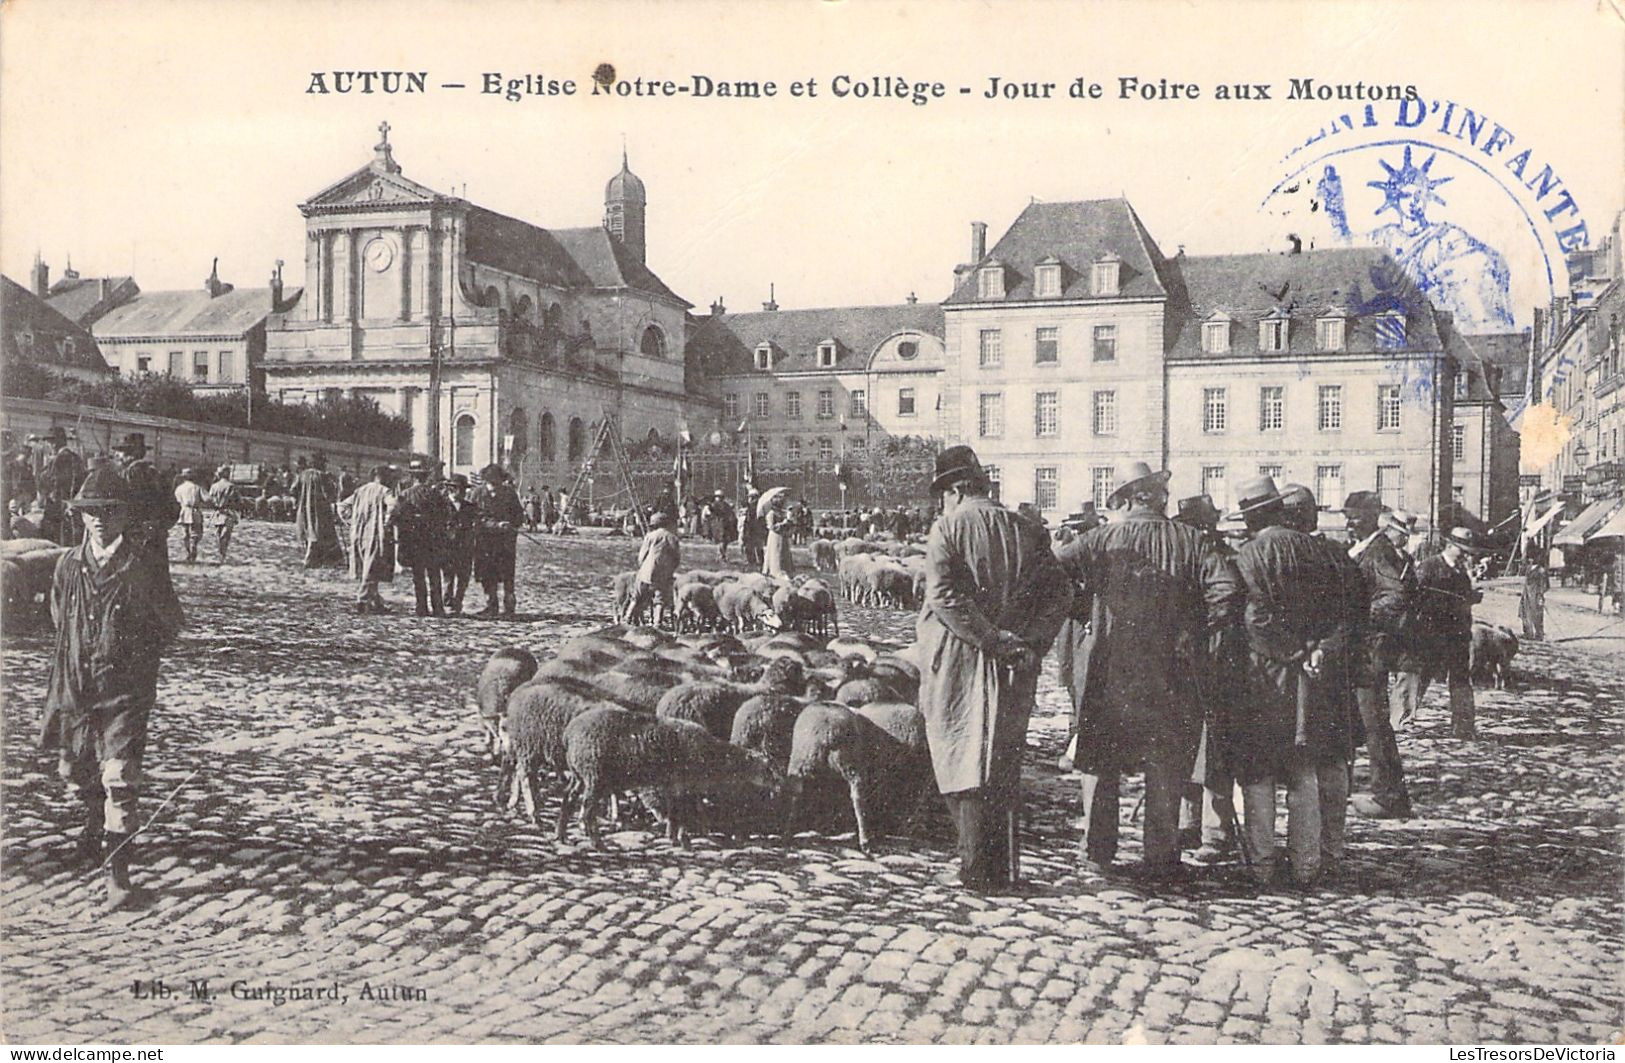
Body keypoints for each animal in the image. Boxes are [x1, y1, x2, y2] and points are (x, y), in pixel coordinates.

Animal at [562, 708, 783, 851]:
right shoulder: (684, 783)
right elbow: (683, 812)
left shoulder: (673, 784)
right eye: (768, 768)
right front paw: (684, 841)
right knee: (587, 810)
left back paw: (561, 835)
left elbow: (675, 812)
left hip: (579, 774)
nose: (781, 786)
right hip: (594, 774)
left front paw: (673, 837)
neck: (712, 756)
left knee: (569, 797)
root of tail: (569, 733)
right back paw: (597, 844)